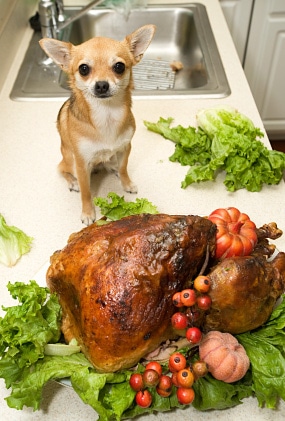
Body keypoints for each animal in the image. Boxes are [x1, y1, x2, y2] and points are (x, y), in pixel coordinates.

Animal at [38, 24, 155, 225]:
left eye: (119, 66)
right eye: (84, 69)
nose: (101, 85)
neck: (106, 115)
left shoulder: (125, 148)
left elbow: (124, 168)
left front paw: (126, 182)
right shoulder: (82, 162)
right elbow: (86, 192)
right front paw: (87, 213)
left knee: (111, 164)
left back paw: (112, 168)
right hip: (69, 161)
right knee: (62, 170)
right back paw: (73, 182)